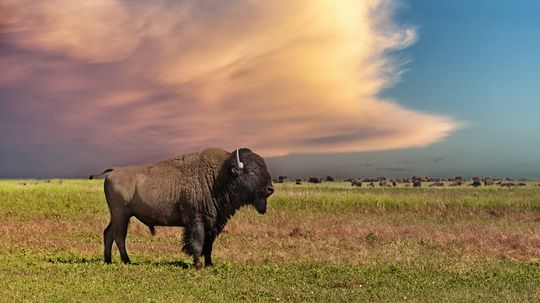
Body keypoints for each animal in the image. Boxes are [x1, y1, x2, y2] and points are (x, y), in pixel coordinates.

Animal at [90, 148, 274, 270]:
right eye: (251, 172)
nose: (270, 189)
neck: (219, 177)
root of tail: (113, 171)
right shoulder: (197, 221)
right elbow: (198, 244)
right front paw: (198, 266)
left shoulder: (212, 224)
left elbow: (208, 246)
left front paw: (209, 264)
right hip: (122, 215)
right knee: (119, 236)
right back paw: (128, 261)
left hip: (117, 216)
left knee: (108, 233)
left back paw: (108, 260)